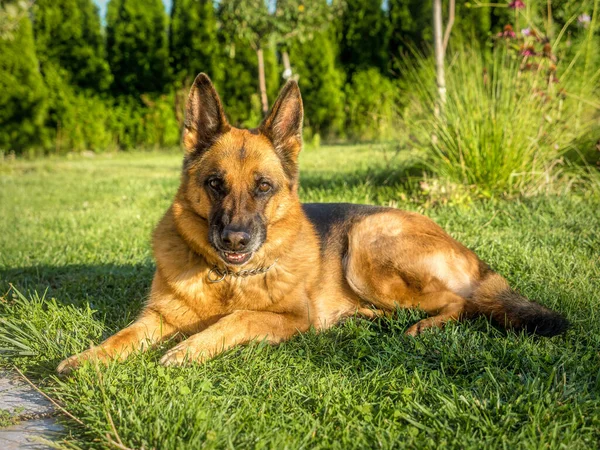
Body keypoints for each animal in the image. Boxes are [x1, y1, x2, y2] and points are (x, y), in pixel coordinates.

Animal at [58, 74, 568, 374]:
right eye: (215, 184)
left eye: (264, 187)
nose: (235, 239)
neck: (227, 280)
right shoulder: (157, 317)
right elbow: (123, 335)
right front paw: (87, 358)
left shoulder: (289, 319)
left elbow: (238, 317)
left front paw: (188, 349)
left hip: (365, 247)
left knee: (459, 302)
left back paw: (425, 327)